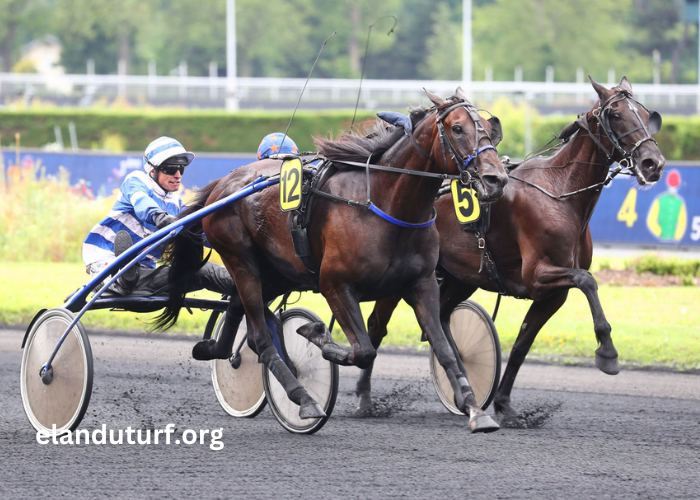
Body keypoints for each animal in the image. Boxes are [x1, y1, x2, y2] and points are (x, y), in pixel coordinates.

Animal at [157, 88, 508, 432]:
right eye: (457, 128)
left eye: (489, 128)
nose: (496, 179)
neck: (386, 205)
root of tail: (223, 184)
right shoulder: (334, 283)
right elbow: (363, 350)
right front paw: (316, 335)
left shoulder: (421, 284)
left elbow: (445, 349)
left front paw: (475, 409)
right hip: (240, 259)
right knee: (260, 337)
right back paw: (304, 399)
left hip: (278, 271)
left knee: (237, 308)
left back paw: (215, 349)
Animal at [360, 76, 668, 424]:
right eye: (615, 115)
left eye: (646, 114)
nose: (653, 163)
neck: (560, 192)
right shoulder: (537, 274)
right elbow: (587, 280)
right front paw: (608, 352)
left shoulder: (553, 293)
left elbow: (523, 343)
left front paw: (504, 404)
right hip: (403, 275)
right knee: (378, 324)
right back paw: (365, 398)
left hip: (460, 277)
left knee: (441, 316)